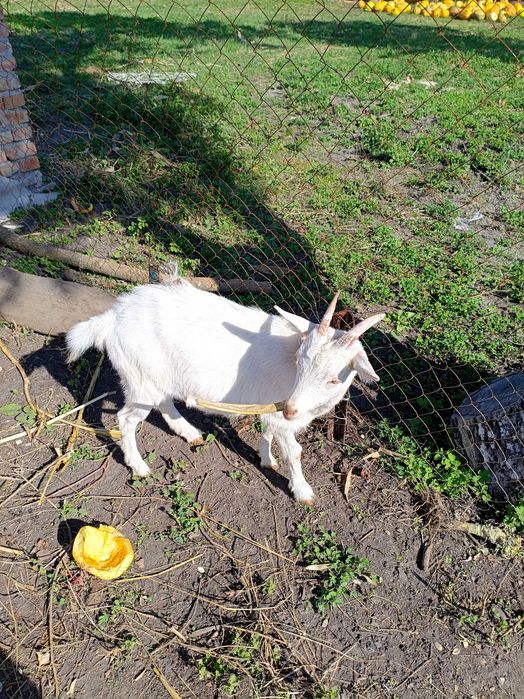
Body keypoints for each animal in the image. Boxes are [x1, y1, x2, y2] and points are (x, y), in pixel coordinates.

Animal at [66, 276, 383, 504]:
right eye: (300, 362)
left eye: (333, 379)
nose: (292, 408)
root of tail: (111, 319)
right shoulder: (281, 415)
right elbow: (293, 451)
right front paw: (303, 492)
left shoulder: (270, 407)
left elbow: (267, 432)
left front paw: (267, 461)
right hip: (140, 379)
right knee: (126, 418)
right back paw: (139, 466)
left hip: (156, 377)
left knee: (165, 403)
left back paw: (190, 433)